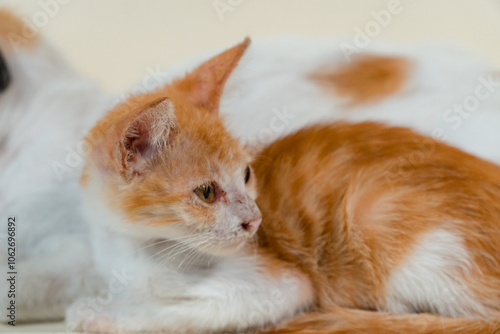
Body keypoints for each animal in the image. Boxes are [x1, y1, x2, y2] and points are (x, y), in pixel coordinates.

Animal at [68, 39, 500, 334]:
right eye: (206, 192)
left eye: (246, 174)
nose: (255, 220)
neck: (137, 246)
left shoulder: (281, 284)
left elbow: (179, 311)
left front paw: (103, 316)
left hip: (377, 216)